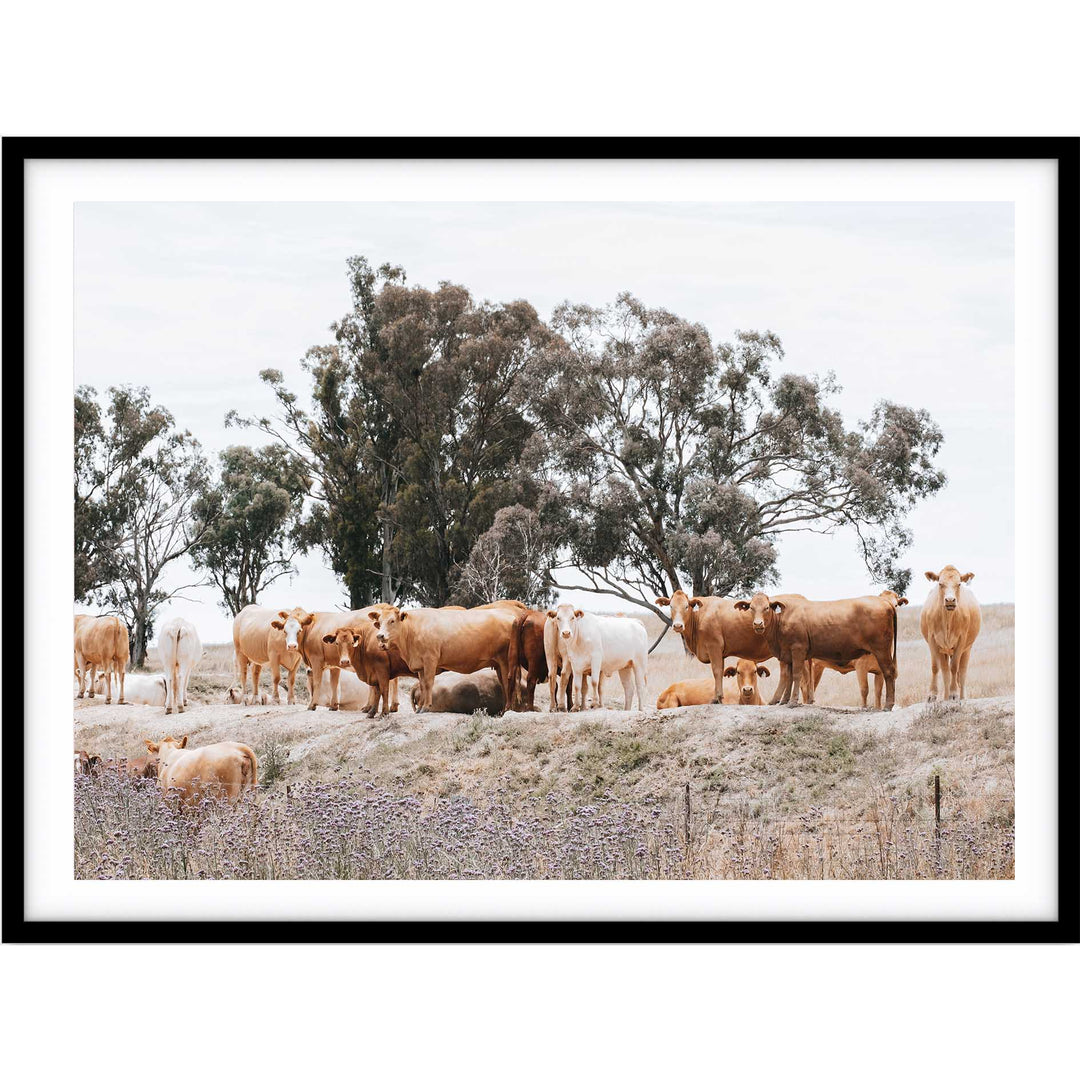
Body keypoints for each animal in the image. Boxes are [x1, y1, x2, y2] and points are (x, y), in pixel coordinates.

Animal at [368, 605, 521, 714]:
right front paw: (421, 707)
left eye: (392, 621)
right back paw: (506, 708)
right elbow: (422, 685)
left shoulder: (430, 659)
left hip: (505, 661)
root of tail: (511, 616)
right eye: (379, 622)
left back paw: (509, 708)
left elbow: (428, 683)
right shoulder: (421, 665)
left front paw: (426, 707)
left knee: (508, 682)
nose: (380, 636)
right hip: (499, 664)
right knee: (504, 683)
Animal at [654, 591, 796, 705]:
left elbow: (717, 671)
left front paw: (716, 698)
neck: (700, 616)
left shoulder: (714, 647)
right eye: (671, 606)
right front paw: (718, 697)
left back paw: (777, 700)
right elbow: (720, 672)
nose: (678, 625)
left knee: (785, 674)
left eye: (686, 606)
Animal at [736, 592, 898, 710]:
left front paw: (793, 701)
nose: (758, 624)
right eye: (751, 608)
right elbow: (788, 677)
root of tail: (885, 602)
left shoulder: (798, 650)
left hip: (881, 650)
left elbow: (796, 675)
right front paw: (784, 701)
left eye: (767, 608)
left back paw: (888, 705)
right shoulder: (787, 654)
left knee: (889, 672)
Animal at [920, 566, 981, 701]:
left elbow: (954, 667)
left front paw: (954, 693)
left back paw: (962, 697)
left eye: (958, 584)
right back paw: (945, 697)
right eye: (940, 584)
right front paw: (932, 694)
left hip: (967, 649)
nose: (950, 600)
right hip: (944, 650)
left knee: (962, 673)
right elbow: (936, 667)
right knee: (945, 672)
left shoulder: (961, 641)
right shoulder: (932, 640)